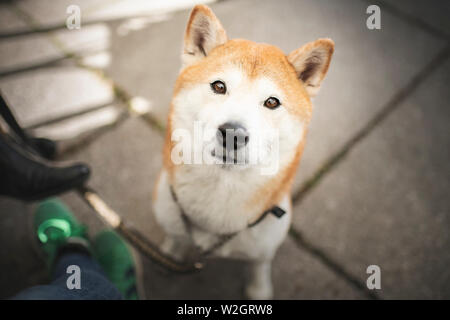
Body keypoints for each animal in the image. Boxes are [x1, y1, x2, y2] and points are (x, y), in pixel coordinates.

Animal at [153, 4, 332, 300]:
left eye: (272, 102)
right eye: (219, 86)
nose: (233, 133)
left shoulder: (263, 249)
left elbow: (259, 267)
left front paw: (258, 290)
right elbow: (175, 241)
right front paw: (169, 253)